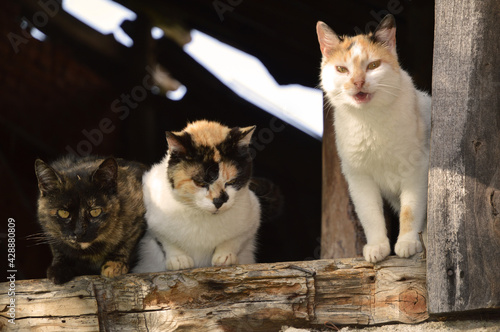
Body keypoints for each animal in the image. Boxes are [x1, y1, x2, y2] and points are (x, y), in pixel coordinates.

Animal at [133, 120, 266, 272]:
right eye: (200, 183)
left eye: (232, 182)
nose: (219, 201)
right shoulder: (153, 220)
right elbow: (166, 240)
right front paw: (179, 259)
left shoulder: (252, 217)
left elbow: (234, 239)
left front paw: (225, 256)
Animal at [318, 15, 432, 264]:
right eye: (342, 69)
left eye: (373, 66)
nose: (358, 82)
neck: (370, 122)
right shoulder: (359, 177)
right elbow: (370, 214)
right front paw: (377, 246)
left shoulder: (417, 169)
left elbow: (410, 210)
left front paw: (407, 243)